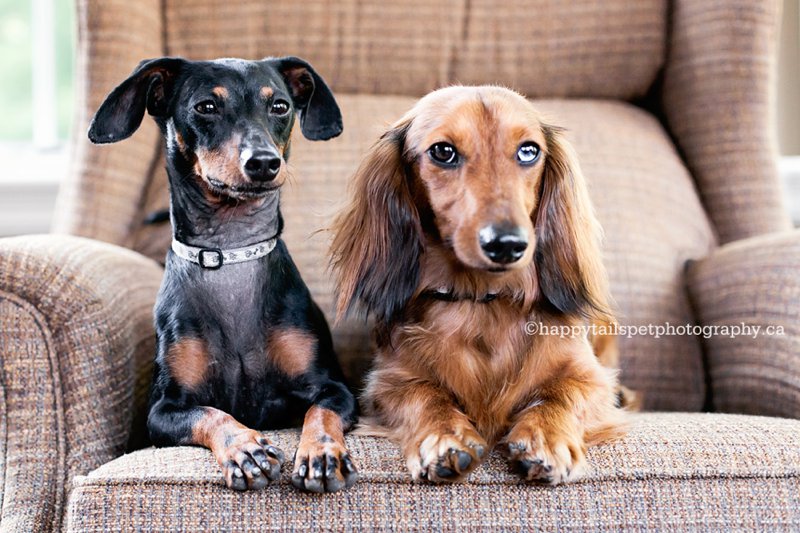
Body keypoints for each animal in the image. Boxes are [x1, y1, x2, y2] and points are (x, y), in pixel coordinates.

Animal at [88, 56, 360, 492]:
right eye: (206, 107)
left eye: (280, 106)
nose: (264, 162)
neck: (231, 250)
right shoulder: (163, 412)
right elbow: (211, 414)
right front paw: (245, 448)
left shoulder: (335, 388)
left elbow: (320, 412)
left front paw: (321, 453)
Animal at [330, 86, 624, 482]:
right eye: (443, 151)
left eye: (529, 150)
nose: (508, 244)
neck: (482, 300)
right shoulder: (387, 382)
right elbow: (424, 394)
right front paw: (444, 436)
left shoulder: (591, 379)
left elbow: (563, 393)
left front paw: (546, 437)